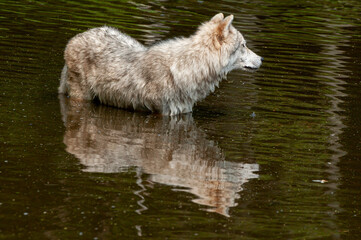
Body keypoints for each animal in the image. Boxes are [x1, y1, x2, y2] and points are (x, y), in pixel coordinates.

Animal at [58, 13, 262, 115]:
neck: (191, 66)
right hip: (81, 97)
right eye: (243, 45)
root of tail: (78, 36)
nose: (262, 59)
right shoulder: (162, 114)